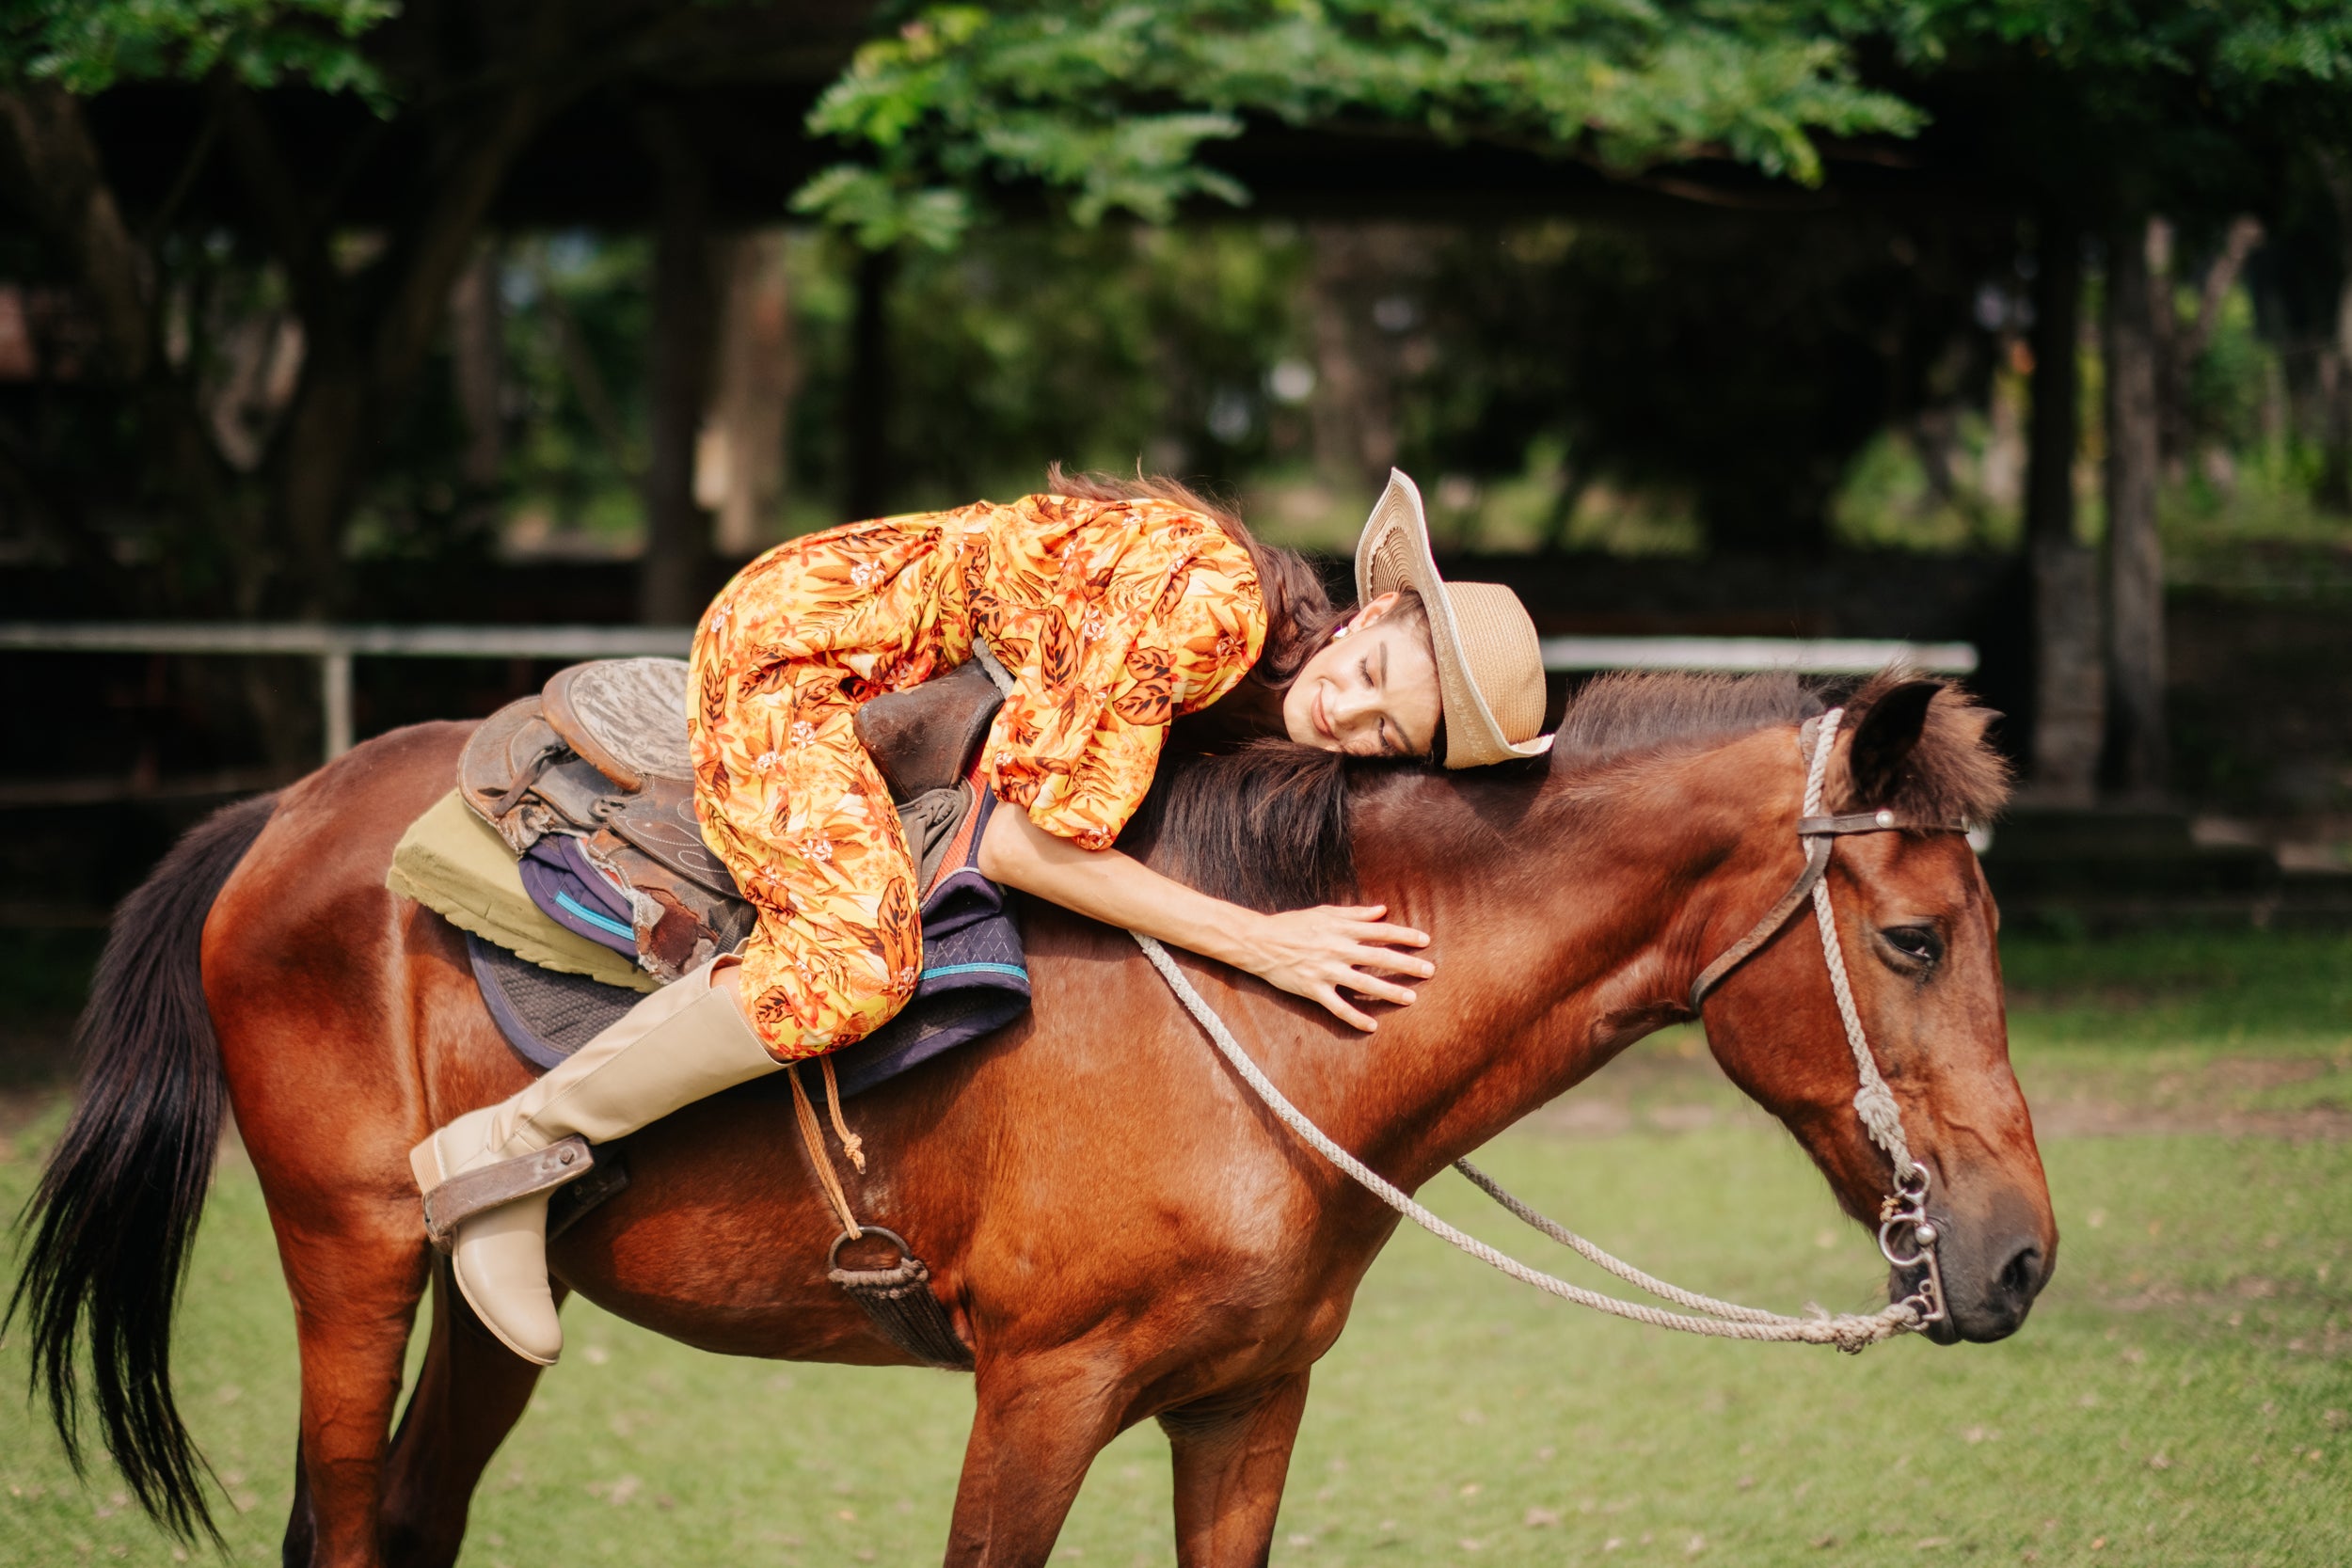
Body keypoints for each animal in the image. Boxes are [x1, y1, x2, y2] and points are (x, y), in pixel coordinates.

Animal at [8, 667, 2051, 1560]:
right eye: (1914, 933)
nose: (2021, 1255)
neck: (1264, 1030)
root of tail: (278, 816)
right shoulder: (1041, 1390)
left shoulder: (1244, 1401)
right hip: (351, 1260)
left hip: (498, 1310)